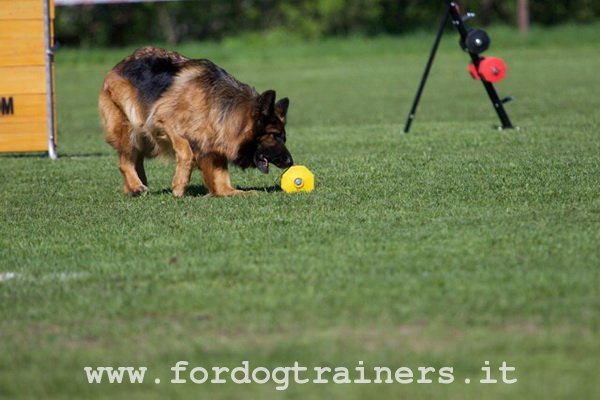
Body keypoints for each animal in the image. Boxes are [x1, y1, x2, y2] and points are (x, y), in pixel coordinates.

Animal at [98, 47, 292, 197]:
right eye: (274, 136)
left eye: (283, 138)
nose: (290, 162)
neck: (221, 107)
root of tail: (120, 64)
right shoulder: (165, 121)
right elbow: (186, 152)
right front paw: (179, 185)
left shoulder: (213, 145)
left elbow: (222, 186)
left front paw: (238, 192)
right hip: (130, 127)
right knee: (125, 162)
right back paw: (136, 185)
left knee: (136, 160)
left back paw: (134, 187)